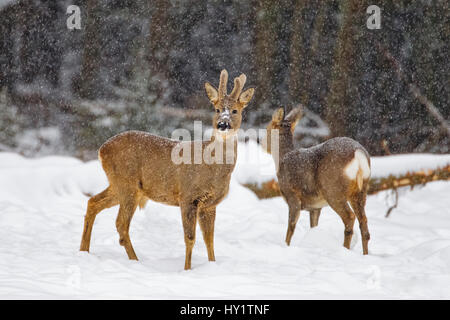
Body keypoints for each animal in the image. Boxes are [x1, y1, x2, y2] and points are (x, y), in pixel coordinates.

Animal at [79, 69, 255, 268]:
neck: (212, 169)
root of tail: (101, 149)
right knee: (121, 224)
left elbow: (209, 239)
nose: (222, 124)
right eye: (217, 109)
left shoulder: (209, 204)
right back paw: (136, 261)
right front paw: (187, 269)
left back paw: (84, 251)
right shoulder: (187, 196)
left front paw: (212, 265)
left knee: (93, 202)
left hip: (122, 186)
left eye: (235, 110)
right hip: (127, 184)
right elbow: (190, 238)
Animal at [266, 106, 370, 254]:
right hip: (361, 190)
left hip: (333, 190)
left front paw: (286, 246)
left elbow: (291, 227)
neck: (282, 159)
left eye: (267, 128)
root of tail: (358, 154)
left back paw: (344, 249)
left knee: (350, 217)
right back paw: (365, 254)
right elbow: (313, 226)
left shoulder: (292, 196)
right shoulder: (316, 206)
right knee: (364, 222)